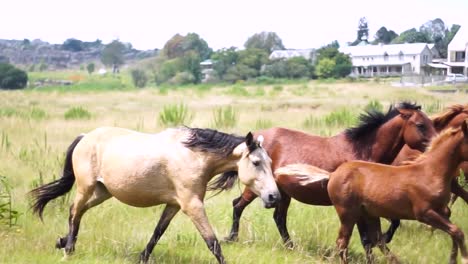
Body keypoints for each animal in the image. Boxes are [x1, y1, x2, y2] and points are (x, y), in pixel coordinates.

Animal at [30, 127, 282, 262]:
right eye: (257, 162)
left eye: (270, 162)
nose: (274, 197)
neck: (193, 156)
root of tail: (85, 137)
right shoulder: (192, 205)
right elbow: (212, 242)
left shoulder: (175, 205)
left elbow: (158, 232)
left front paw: (142, 258)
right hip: (86, 187)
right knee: (74, 211)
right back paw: (68, 250)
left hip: (102, 192)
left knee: (79, 212)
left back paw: (62, 242)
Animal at [223, 102, 436, 246]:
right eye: (420, 125)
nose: (436, 144)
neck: (361, 151)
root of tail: (252, 143)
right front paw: (381, 240)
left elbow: (394, 222)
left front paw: (383, 239)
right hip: (258, 189)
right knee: (238, 205)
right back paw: (231, 238)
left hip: (281, 193)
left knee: (278, 218)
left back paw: (290, 246)